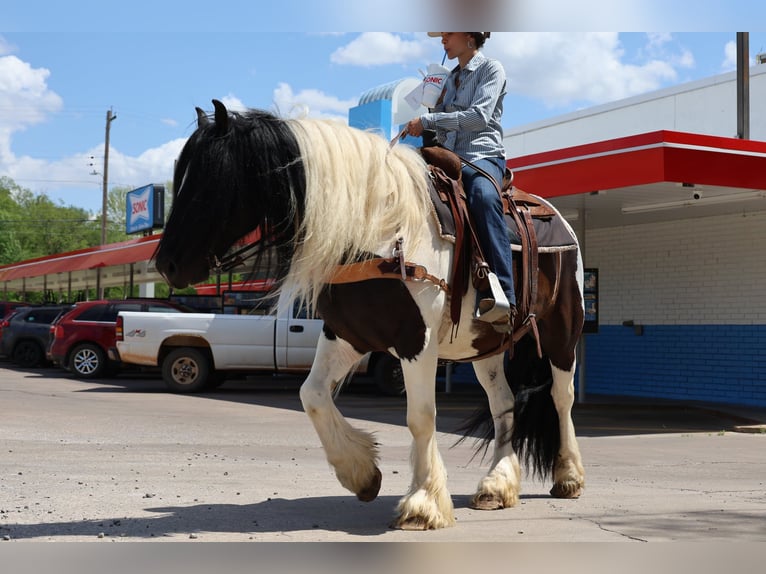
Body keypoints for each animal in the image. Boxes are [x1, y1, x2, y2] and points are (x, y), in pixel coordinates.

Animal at [154, 99, 585, 530]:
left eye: (211, 182)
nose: (165, 264)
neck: (379, 229)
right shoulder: (347, 334)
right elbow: (311, 395)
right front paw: (361, 472)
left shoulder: (415, 340)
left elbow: (420, 416)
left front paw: (423, 503)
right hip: (485, 347)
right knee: (503, 403)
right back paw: (496, 485)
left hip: (563, 332)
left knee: (561, 396)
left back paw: (568, 477)